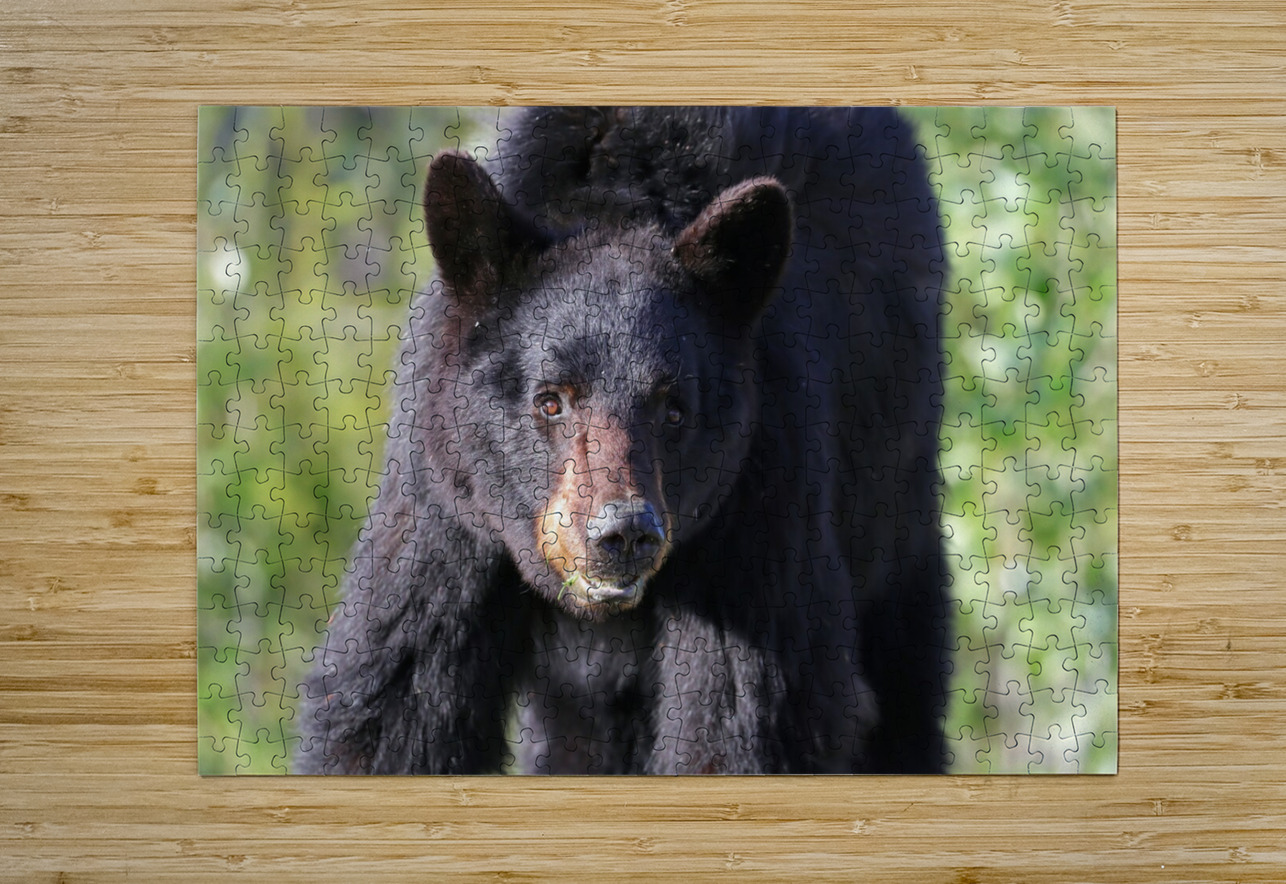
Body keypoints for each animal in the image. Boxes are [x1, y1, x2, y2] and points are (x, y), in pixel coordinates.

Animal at [296, 107, 949, 775]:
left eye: (674, 410)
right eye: (550, 400)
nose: (624, 533)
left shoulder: (758, 495)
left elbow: (742, 716)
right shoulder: (446, 501)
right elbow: (396, 704)